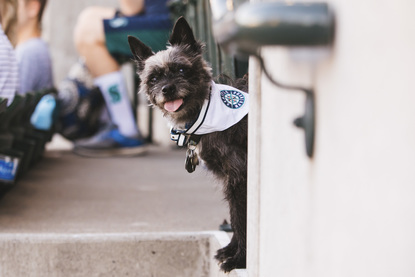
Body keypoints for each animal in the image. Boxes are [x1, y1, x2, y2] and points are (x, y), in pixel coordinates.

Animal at [128, 16, 249, 270]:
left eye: (182, 69)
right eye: (154, 78)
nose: (167, 89)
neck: (206, 110)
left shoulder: (240, 177)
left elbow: (241, 217)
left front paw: (239, 259)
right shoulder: (232, 180)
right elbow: (235, 215)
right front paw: (231, 251)